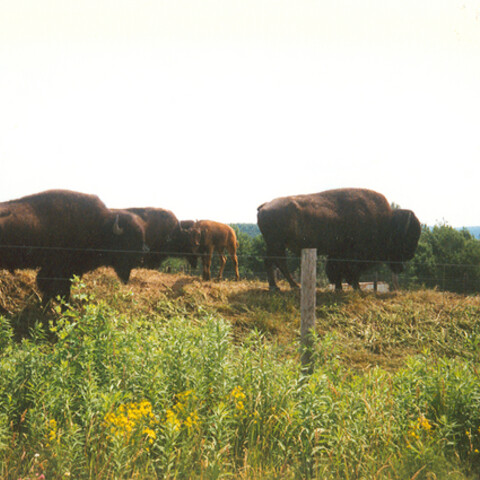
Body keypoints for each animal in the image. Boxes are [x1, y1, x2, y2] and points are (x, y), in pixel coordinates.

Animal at [0, 189, 146, 302]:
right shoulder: (60, 270)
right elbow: (58, 291)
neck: (99, 225)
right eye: (126, 242)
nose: (139, 259)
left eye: (139, 241)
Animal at [255, 188, 420, 290]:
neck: (386, 223)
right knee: (275, 262)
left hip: (276, 245)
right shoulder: (350, 255)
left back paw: (285, 286)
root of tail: (265, 206)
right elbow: (347, 271)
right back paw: (282, 287)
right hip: (276, 244)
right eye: (405, 239)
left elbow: (336, 270)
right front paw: (355, 288)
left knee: (275, 262)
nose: (410, 255)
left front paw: (340, 288)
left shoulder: (336, 253)